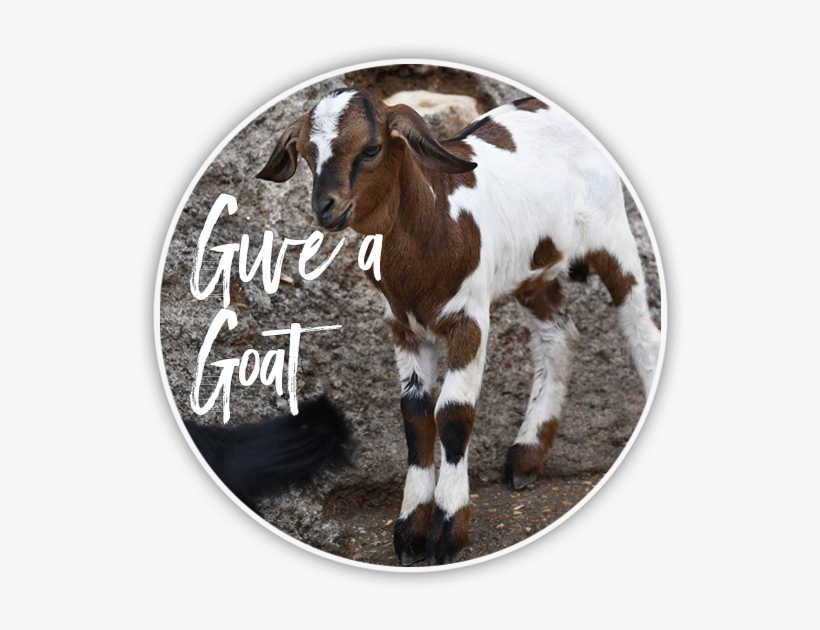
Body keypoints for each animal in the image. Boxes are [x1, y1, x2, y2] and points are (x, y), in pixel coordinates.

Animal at [257, 88, 661, 565]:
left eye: (371, 148)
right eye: (305, 152)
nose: (325, 208)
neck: (434, 220)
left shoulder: (469, 319)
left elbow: (453, 412)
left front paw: (448, 527)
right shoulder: (403, 327)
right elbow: (415, 414)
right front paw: (409, 529)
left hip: (612, 234)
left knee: (640, 329)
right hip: (533, 270)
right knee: (557, 338)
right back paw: (525, 457)